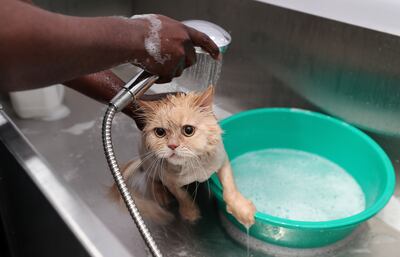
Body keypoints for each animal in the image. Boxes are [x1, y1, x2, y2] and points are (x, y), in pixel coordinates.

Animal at [111, 87, 256, 227]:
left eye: (188, 130)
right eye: (160, 132)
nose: (172, 145)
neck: (194, 163)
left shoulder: (222, 159)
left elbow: (229, 186)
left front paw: (241, 209)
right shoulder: (169, 181)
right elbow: (182, 196)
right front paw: (190, 213)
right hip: (149, 162)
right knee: (151, 178)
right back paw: (161, 194)